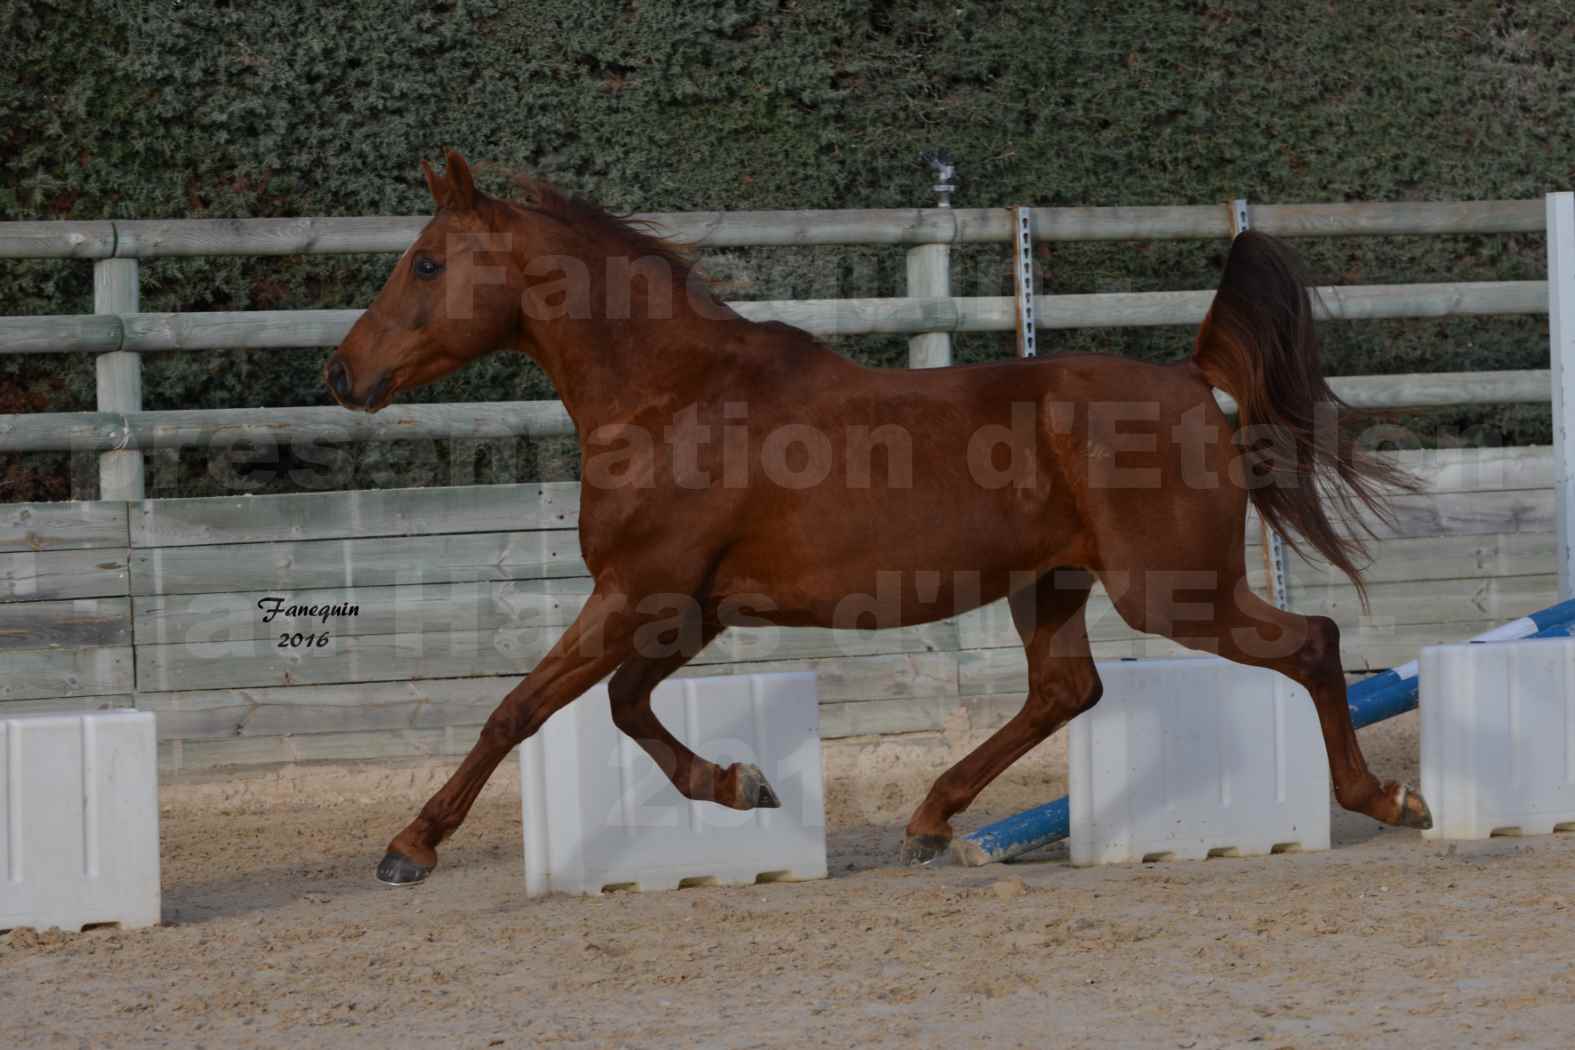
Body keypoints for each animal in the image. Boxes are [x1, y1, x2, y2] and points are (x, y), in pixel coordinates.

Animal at [326, 149, 1436, 887]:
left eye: (426, 263)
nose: (341, 373)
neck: (672, 398)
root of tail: (1190, 378)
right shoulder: (686, 609)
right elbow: (624, 707)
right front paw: (743, 785)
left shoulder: (639, 591)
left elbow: (522, 708)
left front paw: (408, 847)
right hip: (1053, 585)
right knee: (1065, 691)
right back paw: (928, 822)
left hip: (1173, 591)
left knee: (1310, 642)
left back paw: (1388, 800)